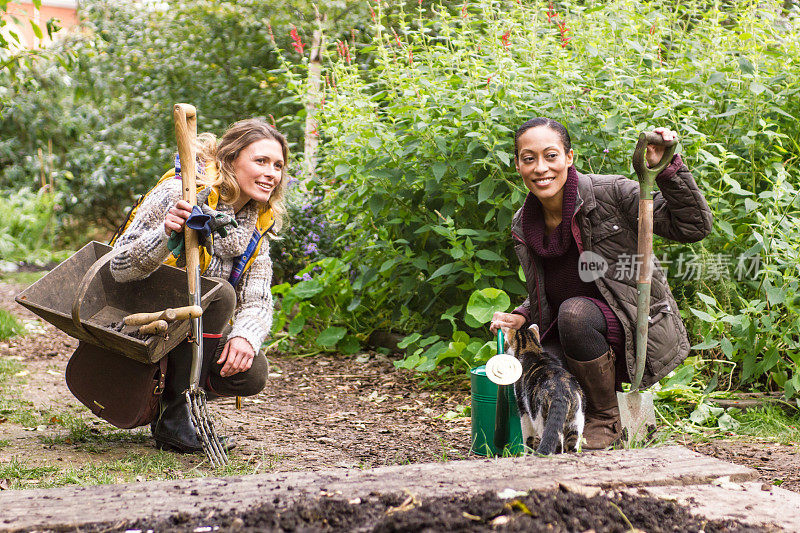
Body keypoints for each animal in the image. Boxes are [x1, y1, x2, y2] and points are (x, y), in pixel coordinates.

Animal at [510, 324, 584, 454]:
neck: (531, 349)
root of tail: (561, 393)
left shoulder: (523, 409)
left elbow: (527, 437)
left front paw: (527, 453)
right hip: (575, 421)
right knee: (571, 444)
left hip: (542, 420)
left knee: (555, 443)